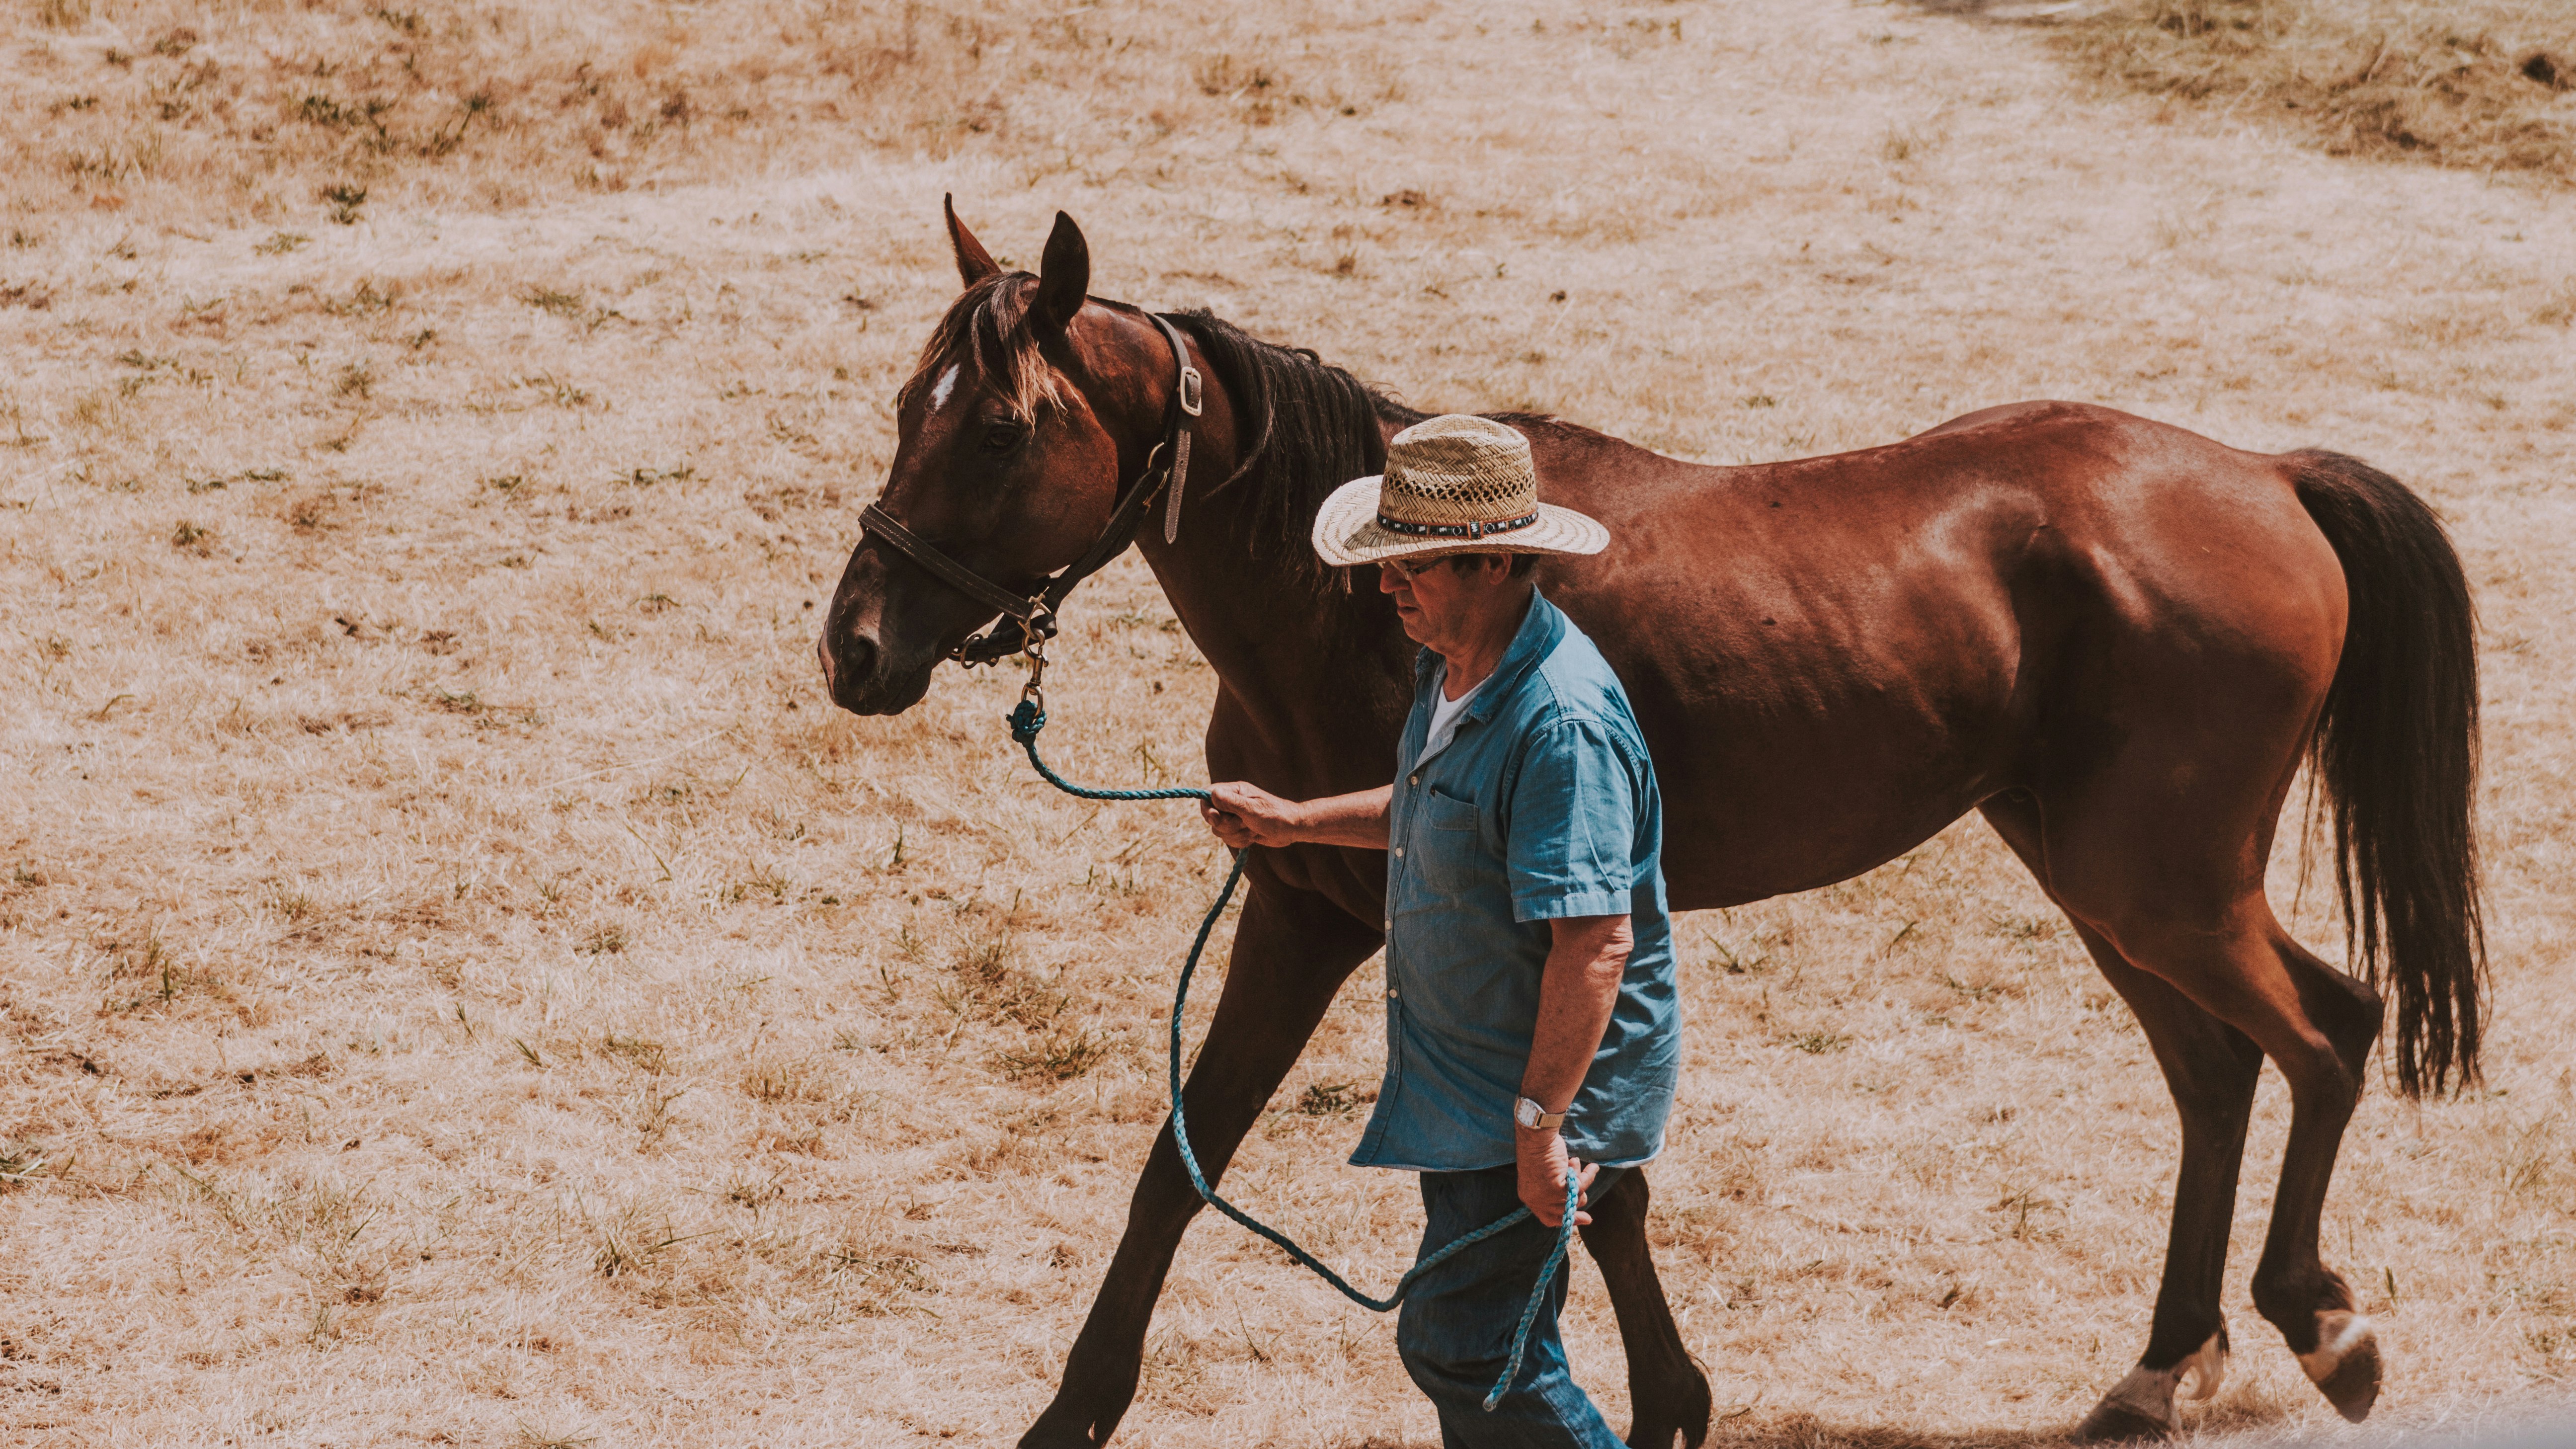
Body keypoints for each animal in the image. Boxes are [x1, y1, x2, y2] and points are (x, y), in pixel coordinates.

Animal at [819, 206, 2473, 1444]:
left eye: (1002, 432)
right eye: (908, 407)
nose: (855, 647)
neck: (1382, 609)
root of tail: (2265, 477)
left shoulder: (1504, 929)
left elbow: (1577, 1174)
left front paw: (1667, 1397)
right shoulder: (1303, 917)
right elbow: (1189, 1161)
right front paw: (1071, 1413)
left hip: (2166, 888)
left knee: (2327, 1031)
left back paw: (2324, 1324)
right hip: (2100, 881)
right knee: (2216, 1072)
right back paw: (2160, 1367)